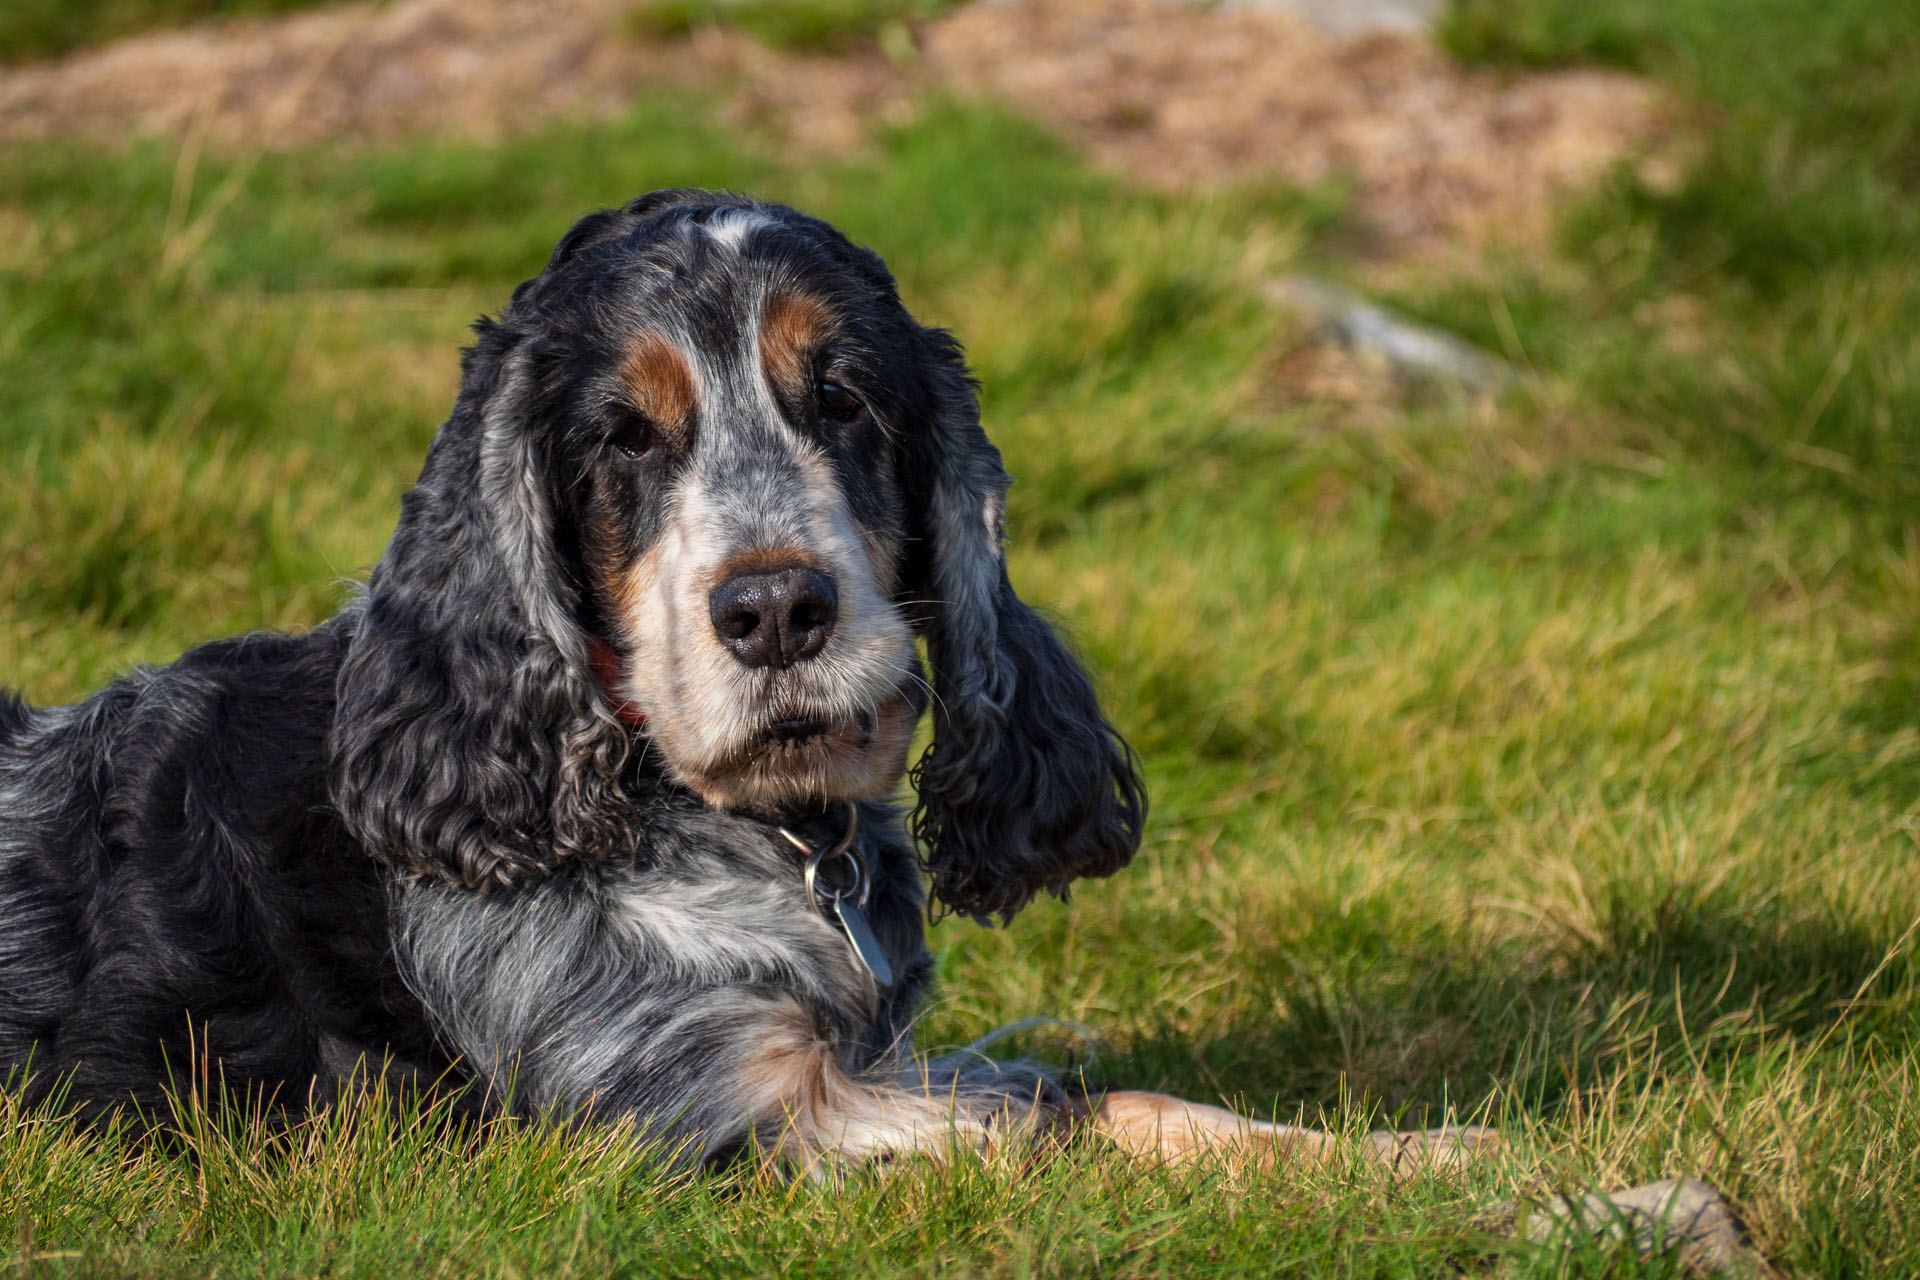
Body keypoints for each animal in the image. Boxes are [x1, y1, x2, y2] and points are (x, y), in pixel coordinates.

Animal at [0, 189, 1482, 1174]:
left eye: (845, 396)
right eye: (621, 437)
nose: (775, 610)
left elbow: (1114, 1092)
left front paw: (1424, 1155)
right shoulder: (711, 1114)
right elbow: (1069, 1123)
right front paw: (1463, 1173)